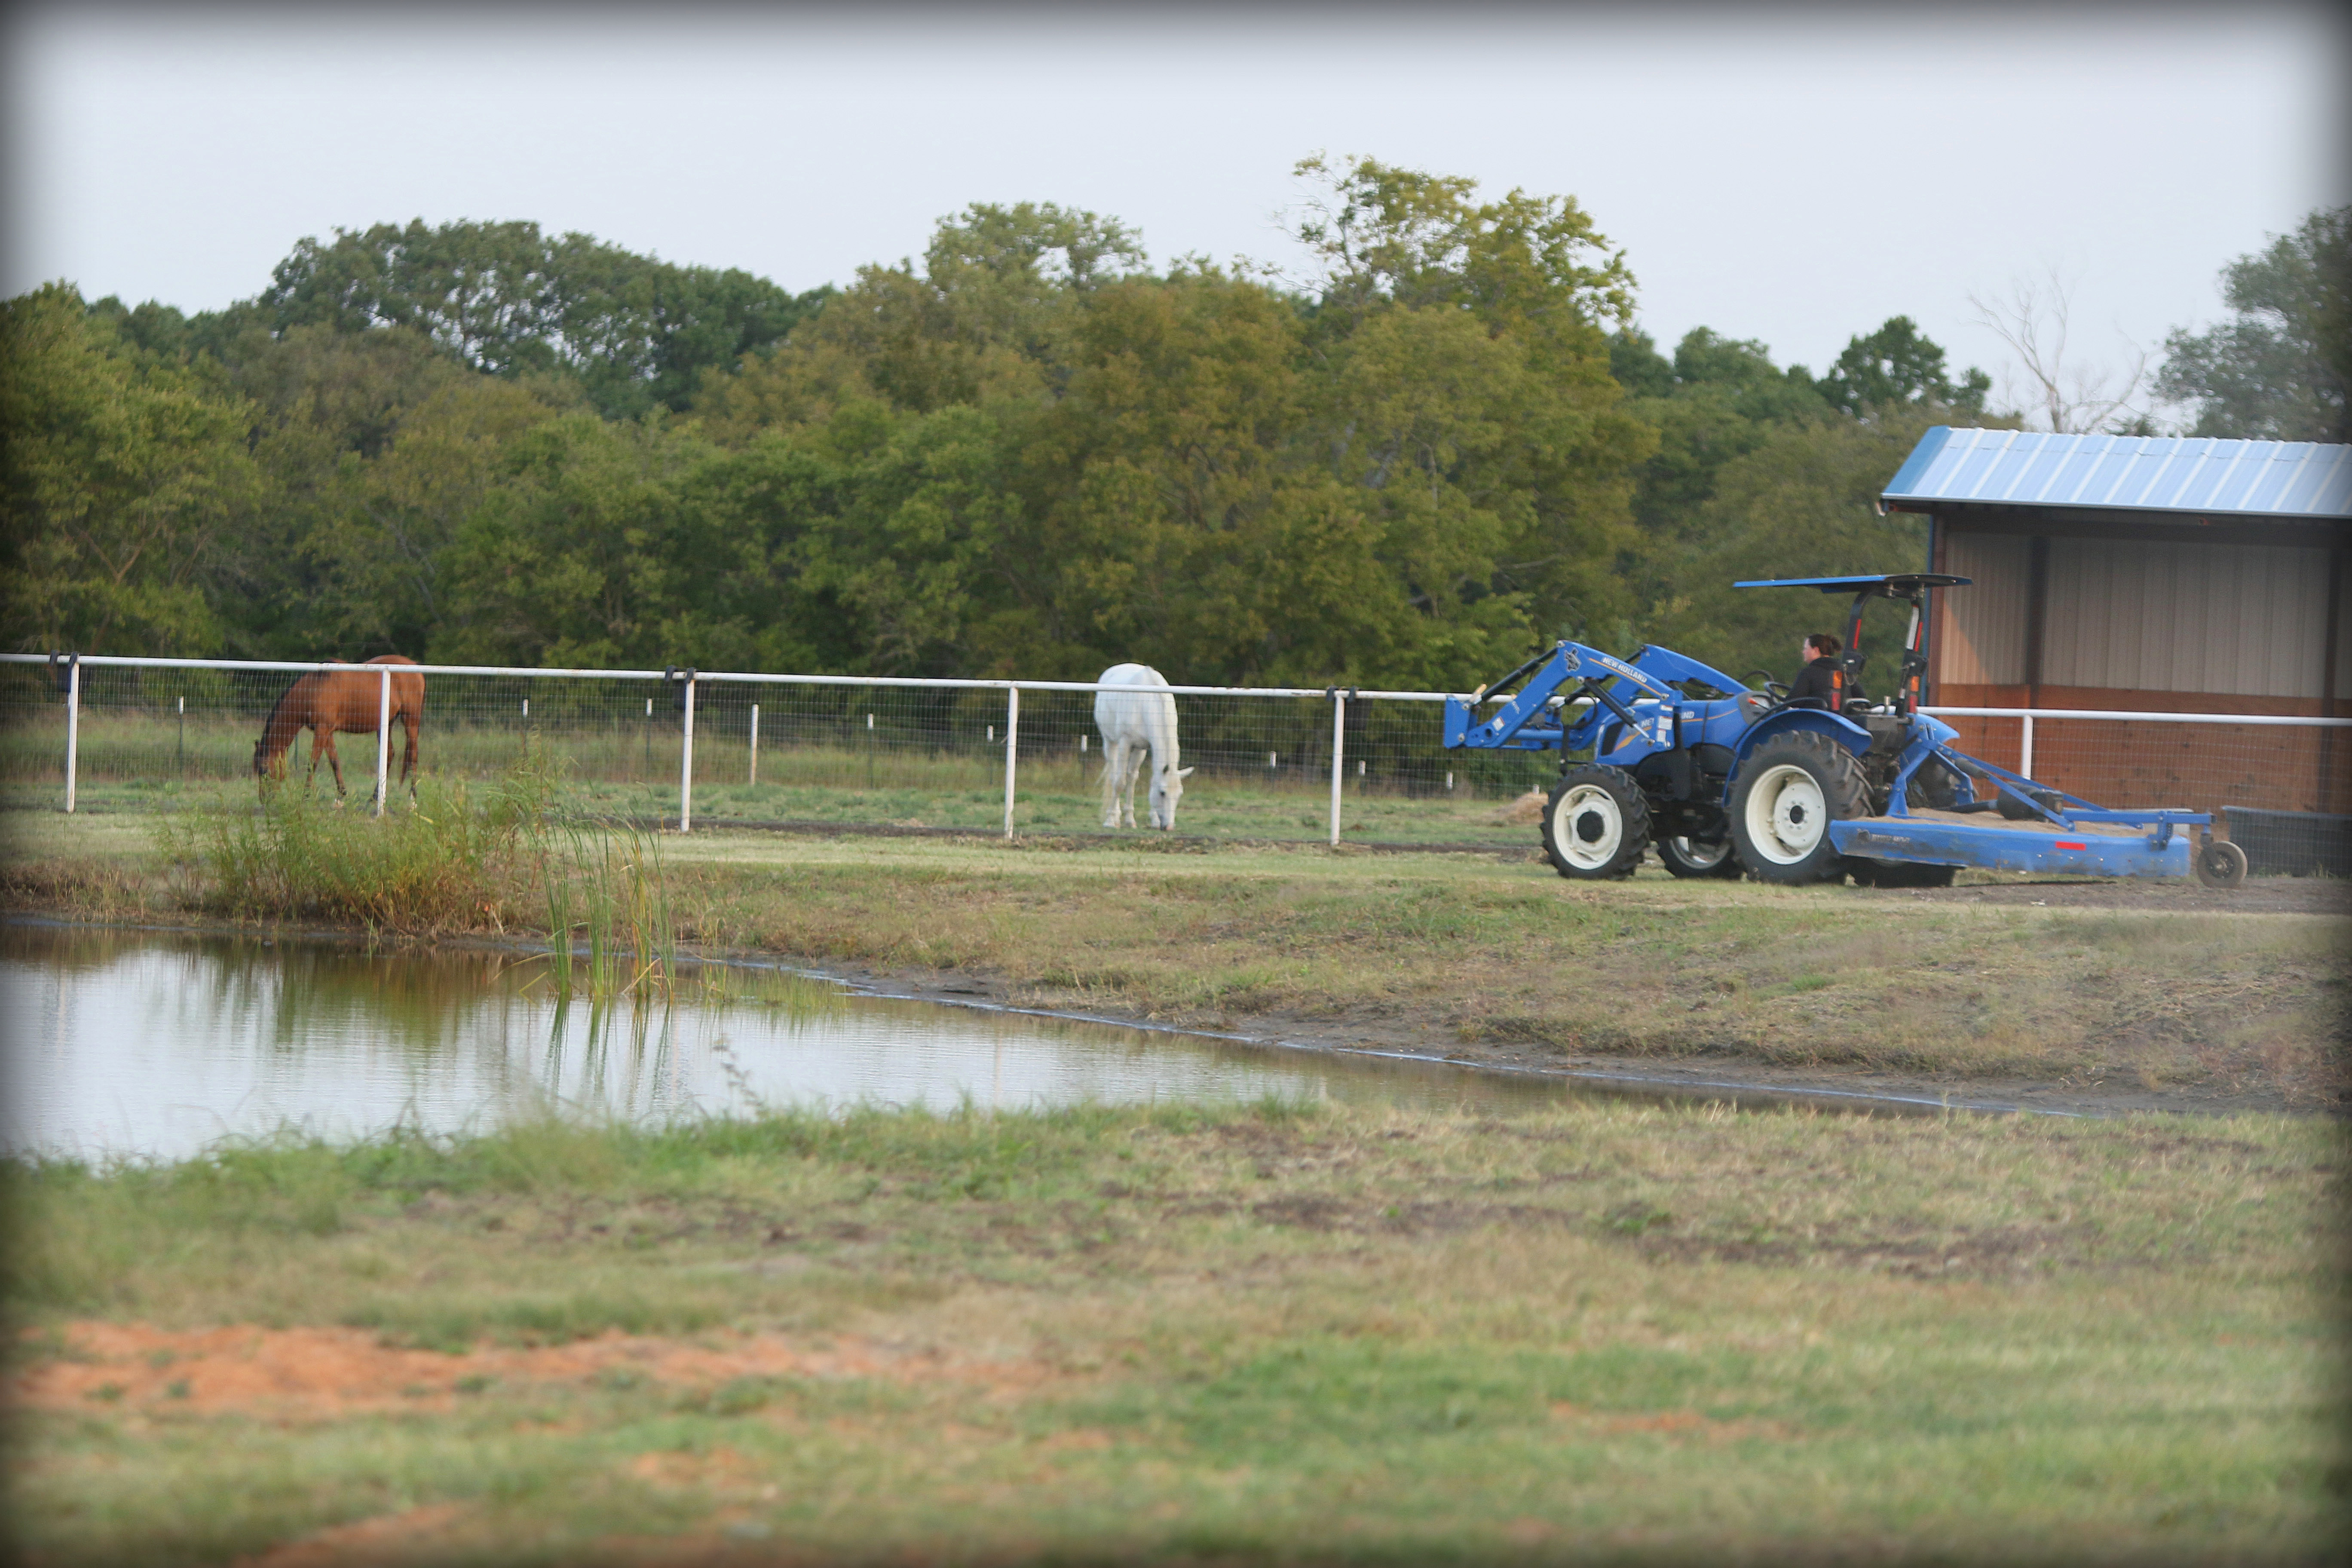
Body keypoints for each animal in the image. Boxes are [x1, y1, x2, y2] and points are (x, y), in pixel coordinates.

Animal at [255, 658, 426, 799]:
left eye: (264, 770)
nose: (265, 799)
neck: (315, 688)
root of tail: (415, 667)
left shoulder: (322, 730)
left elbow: (313, 763)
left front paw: (307, 795)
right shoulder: (326, 732)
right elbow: (334, 761)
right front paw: (342, 794)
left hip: (411, 720)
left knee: (414, 754)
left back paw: (413, 795)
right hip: (386, 724)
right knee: (390, 754)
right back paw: (374, 797)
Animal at [1087, 663, 1185, 832]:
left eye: (1179, 794)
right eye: (1163, 793)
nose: (1169, 827)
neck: (1147, 701)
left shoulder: (1143, 747)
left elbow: (1139, 779)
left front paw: (1145, 820)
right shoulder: (1125, 742)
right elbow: (1119, 783)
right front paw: (1111, 821)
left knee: (1130, 777)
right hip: (1110, 742)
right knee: (1114, 776)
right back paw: (1114, 817)